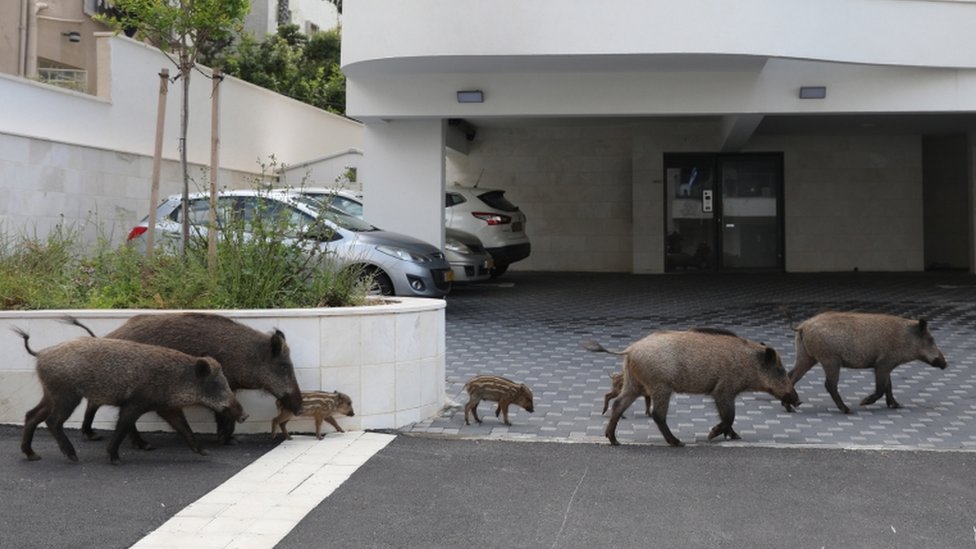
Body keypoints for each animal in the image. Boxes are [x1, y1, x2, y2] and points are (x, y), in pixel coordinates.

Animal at [15, 328, 245, 464]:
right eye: (215, 384)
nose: (244, 416)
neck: (175, 379)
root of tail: (41, 354)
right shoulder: (136, 402)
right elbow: (123, 426)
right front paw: (115, 458)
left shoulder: (167, 407)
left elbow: (184, 428)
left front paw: (204, 452)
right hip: (66, 395)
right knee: (52, 421)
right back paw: (72, 456)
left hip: (50, 394)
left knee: (31, 415)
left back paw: (33, 455)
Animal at [64, 313, 302, 447]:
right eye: (284, 366)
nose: (299, 409)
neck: (246, 356)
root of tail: (104, 337)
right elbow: (223, 414)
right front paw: (228, 441)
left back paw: (94, 435)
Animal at [585, 328, 800, 447]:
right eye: (780, 370)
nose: (798, 400)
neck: (748, 364)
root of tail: (630, 349)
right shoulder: (723, 390)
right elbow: (729, 416)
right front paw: (712, 435)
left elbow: (729, 418)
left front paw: (735, 437)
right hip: (660, 386)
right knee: (657, 415)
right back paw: (678, 442)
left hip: (634, 384)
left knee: (619, 404)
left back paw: (614, 440)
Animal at [786, 311, 948, 414]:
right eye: (931, 339)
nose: (945, 364)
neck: (904, 338)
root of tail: (802, 327)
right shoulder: (883, 363)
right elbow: (882, 387)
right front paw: (863, 402)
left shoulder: (885, 366)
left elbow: (889, 386)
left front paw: (896, 405)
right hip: (830, 360)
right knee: (829, 385)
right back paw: (847, 410)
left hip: (806, 356)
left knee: (791, 376)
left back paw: (790, 408)